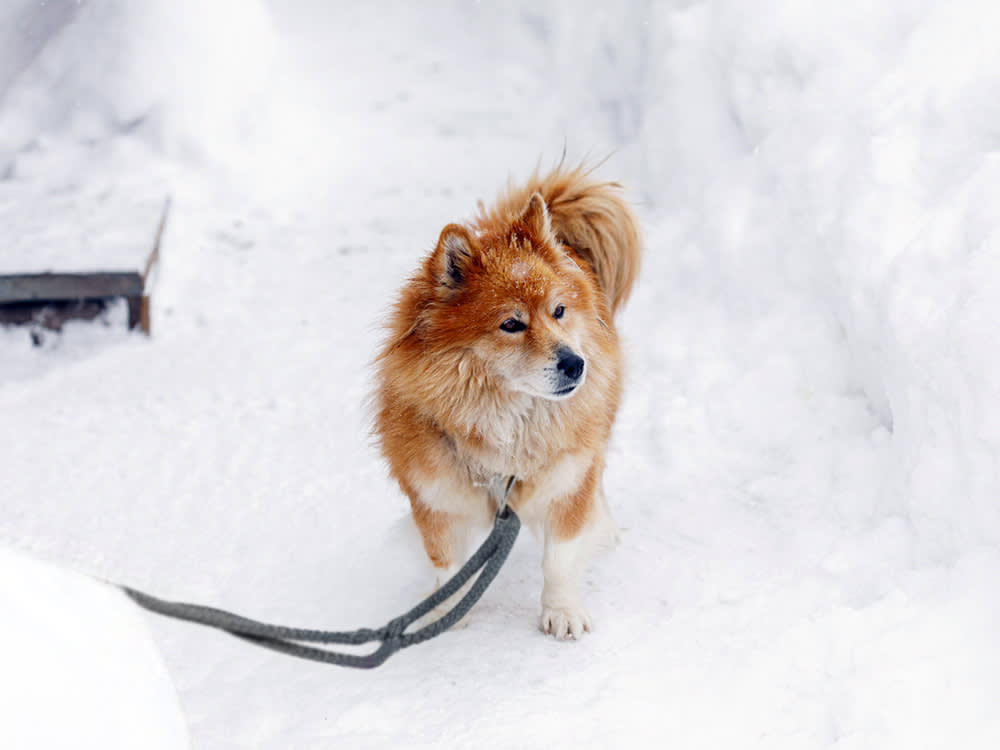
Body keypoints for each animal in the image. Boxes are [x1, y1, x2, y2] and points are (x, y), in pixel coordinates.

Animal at [374, 164, 640, 640]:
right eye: (511, 324)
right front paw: (448, 610)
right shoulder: (435, 493)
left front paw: (562, 611)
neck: (506, 423)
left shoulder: (566, 479)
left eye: (559, 311)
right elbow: (446, 562)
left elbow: (559, 559)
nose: (576, 364)